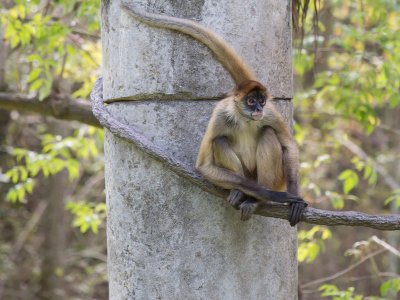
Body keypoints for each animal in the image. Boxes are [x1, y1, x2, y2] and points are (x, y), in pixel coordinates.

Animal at [120, 1, 308, 225]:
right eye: (251, 101)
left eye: (261, 101)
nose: (258, 109)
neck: (245, 120)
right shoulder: (221, 115)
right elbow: (204, 166)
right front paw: (272, 195)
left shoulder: (270, 113)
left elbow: (289, 146)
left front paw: (291, 198)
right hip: (247, 175)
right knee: (219, 141)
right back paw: (243, 193)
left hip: (277, 176)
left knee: (268, 132)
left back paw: (255, 201)